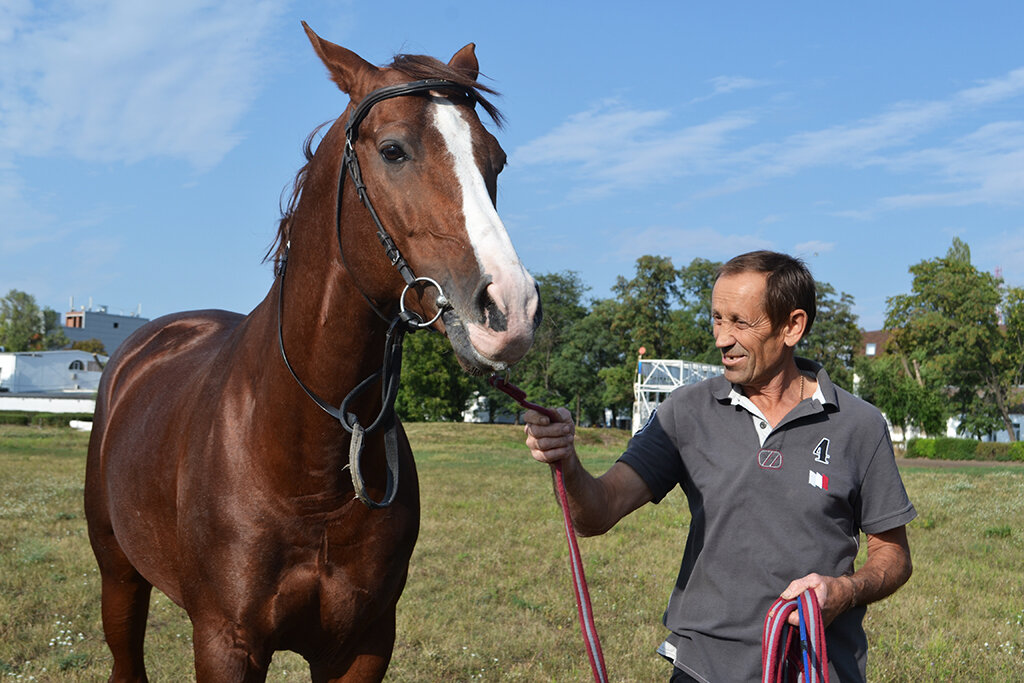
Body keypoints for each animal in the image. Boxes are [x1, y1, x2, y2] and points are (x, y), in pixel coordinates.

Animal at [86, 24, 544, 679]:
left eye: (496, 160)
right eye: (394, 150)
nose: (511, 309)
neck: (310, 457)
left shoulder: (363, 643)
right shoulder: (224, 642)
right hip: (119, 576)